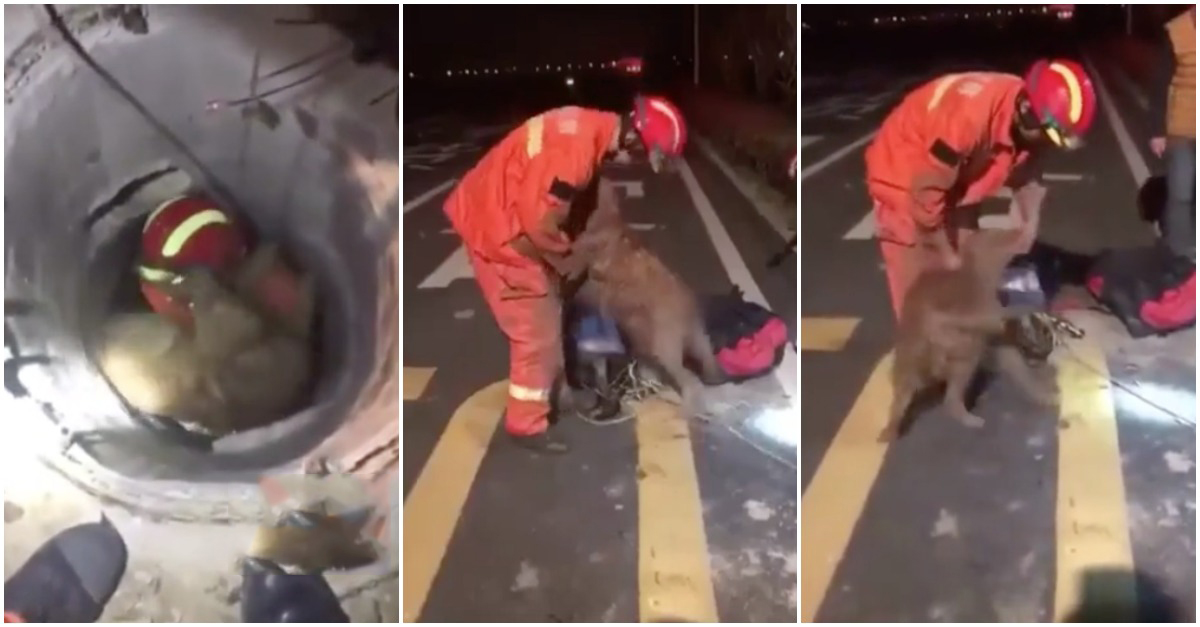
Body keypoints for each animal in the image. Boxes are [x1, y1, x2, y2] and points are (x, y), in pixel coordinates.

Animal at [878, 228, 1056, 439]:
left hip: (908, 356)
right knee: (954, 389)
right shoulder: (983, 310)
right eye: (997, 236)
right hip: (956, 351)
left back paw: (890, 428)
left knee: (902, 393)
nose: (1018, 236)